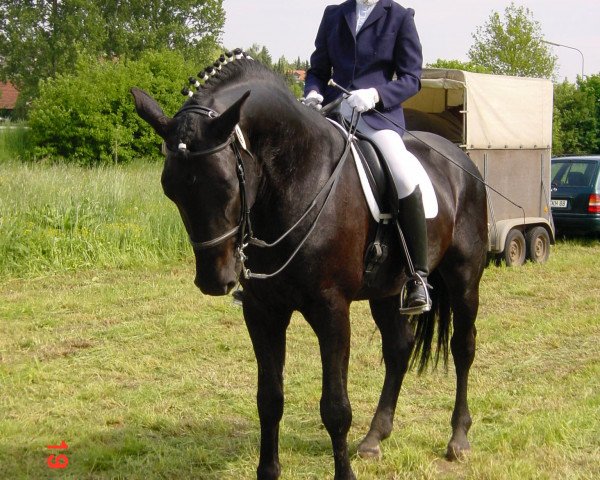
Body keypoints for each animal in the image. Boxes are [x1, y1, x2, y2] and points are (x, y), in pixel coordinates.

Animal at [131, 54, 488, 478]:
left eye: (226, 183)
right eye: (170, 188)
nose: (215, 280)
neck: (297, 181)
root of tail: (460, 157)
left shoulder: (331, 310)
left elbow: (335, 408)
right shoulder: (262, 312)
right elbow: (269, 399)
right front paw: (268, 471)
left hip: (464, 277)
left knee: (463, 347)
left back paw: (459, 439)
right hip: (386, 291)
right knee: (398, 349)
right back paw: (374, 439)